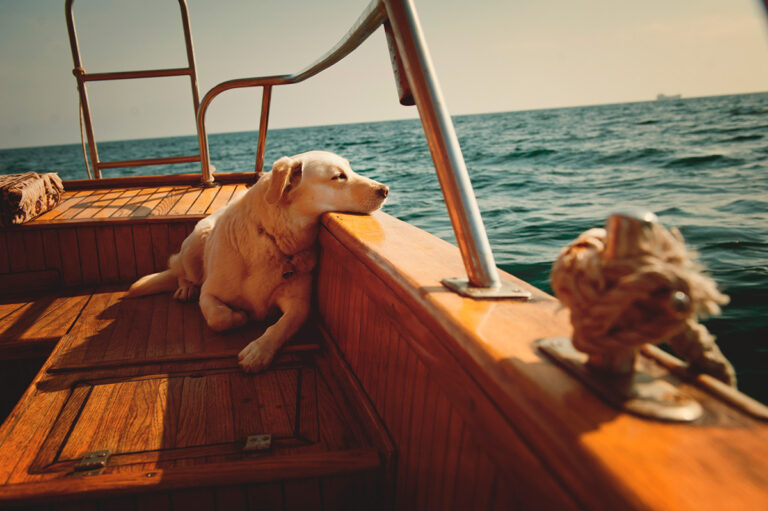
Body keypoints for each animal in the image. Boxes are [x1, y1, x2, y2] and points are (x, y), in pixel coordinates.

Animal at [129, 151, 390, 372]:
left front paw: (259, 350)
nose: (385, 189)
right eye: (338, 176)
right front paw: (239, 317)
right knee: (181, 270)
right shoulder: (209, 293)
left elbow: (282, 325)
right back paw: (185, 288)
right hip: (196, 242)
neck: (274, 240)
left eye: (350, 169)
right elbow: (218, 318)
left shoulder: (299, 302)